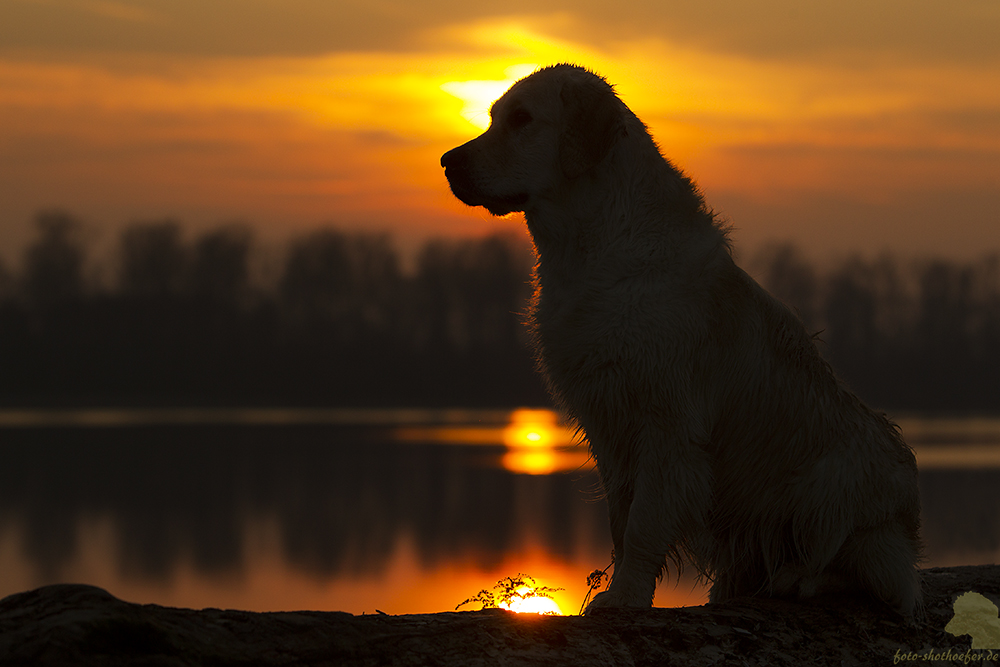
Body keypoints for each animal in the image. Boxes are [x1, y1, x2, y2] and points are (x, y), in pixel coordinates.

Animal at [440, 65, 920, 620]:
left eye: (521, 120)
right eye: (494, 118)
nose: (447, 162)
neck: (590, 247)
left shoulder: (665, 423)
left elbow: (644, 523)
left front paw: (625, 597)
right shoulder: (609, 425)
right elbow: (622, 521)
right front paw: (623, 590)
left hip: (830, 486)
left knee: (879, 577)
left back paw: (797, 579)